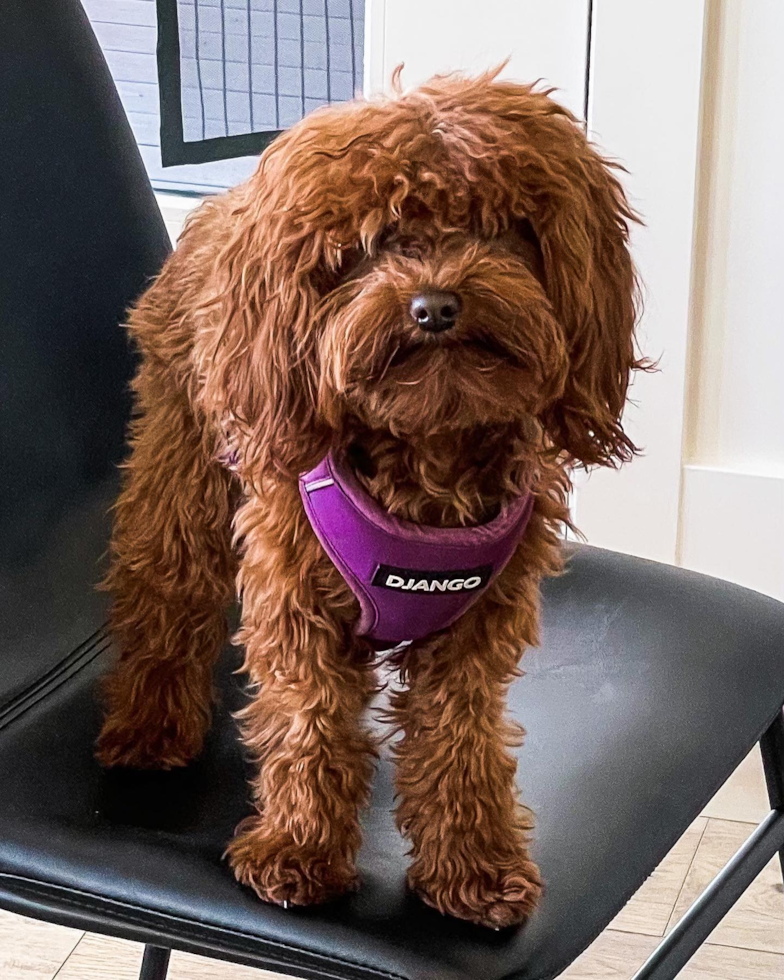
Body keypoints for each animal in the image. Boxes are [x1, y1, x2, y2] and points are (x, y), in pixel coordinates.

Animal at [95, 67, 640, 928]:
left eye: (502, 229)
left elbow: (459, 739)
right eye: (371, 244)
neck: (427, 447)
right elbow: (308, 723)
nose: (436, 306)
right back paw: (149, 731)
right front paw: (297, 852)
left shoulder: (475, 628)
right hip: (182, 463)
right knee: (166, 591)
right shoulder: (295, 598)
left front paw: (473, 867)